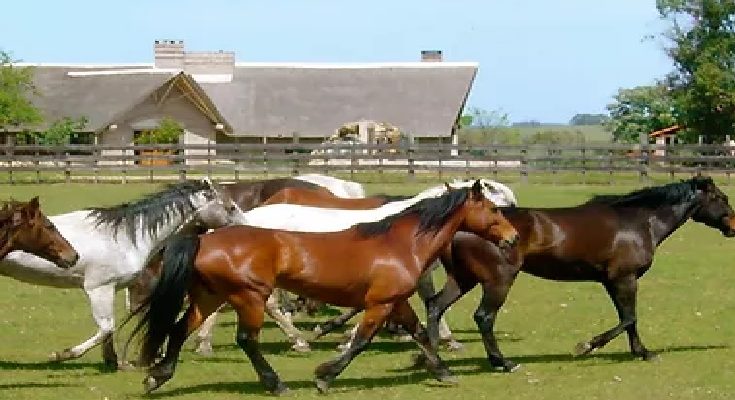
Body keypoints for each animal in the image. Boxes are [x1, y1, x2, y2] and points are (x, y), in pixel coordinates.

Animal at [0, 180, 247, 368]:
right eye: (230, 207)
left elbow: (108, 329)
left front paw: (113, 361)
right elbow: (106, 328)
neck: (124, 238)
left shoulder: (113, 289)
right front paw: (63, 354)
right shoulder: (99, 289)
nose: (248, 228)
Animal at [422, 175, 735, 372]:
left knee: (435, 306)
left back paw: (434, 360)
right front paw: (587, 346)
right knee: (484, 317)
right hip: (498, 281)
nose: (733, 226)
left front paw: (642, 353)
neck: (638, 222)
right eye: (721, 198)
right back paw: (503, 363)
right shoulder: (625, 278)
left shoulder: (612, 281)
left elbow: (627, 318)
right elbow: (630, 317)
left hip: (463, 279)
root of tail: (459, 227)